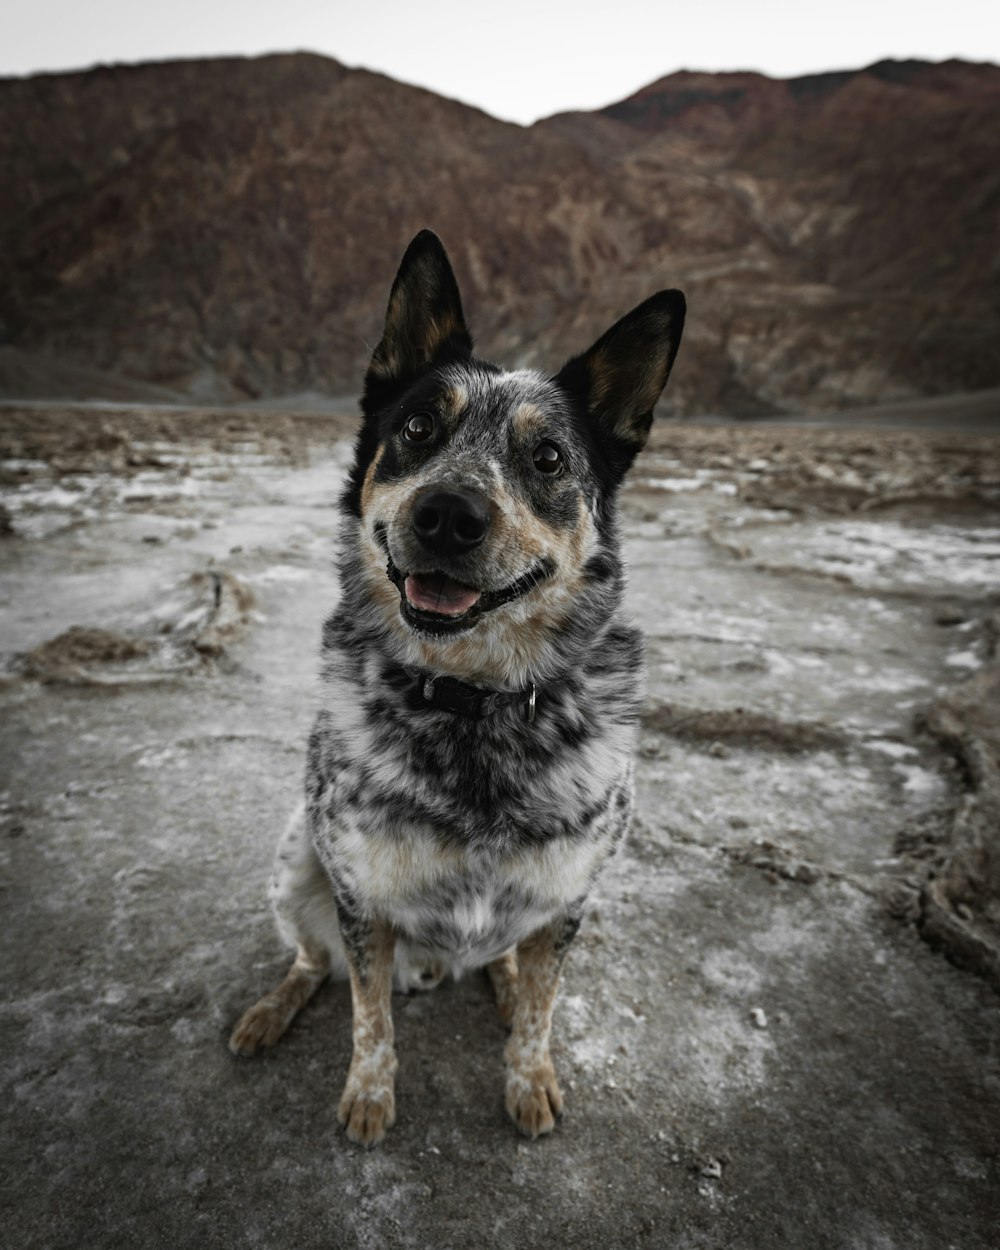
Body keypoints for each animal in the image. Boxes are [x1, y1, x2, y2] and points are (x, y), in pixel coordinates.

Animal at [227, 230, 685, 1145]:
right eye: (416, 426)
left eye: (548, 457)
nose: (447, 514)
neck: (475, 701)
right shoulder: (360, 895)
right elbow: (369, 1018)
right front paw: (369, 1098)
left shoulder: (569, 895)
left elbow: (543, 1008)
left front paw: (529, 1078)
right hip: (295, 862)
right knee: (311, 961)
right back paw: (270, 1011)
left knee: (506, 963)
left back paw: (500, 985)